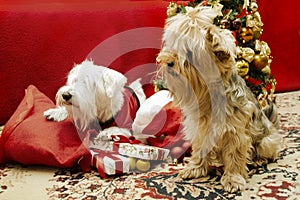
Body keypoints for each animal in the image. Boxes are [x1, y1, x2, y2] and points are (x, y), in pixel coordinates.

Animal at [156, 4, 282, 192]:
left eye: (190, 53)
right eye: (174, 47)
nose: (168, 62)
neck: (208, 96)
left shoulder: (235, 132)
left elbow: (235, 156)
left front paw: (233, 179)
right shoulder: (200, 130)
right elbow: (199, 150)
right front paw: (195, 168)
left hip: (266, 141)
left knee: (268, 151)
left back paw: (258, 160)